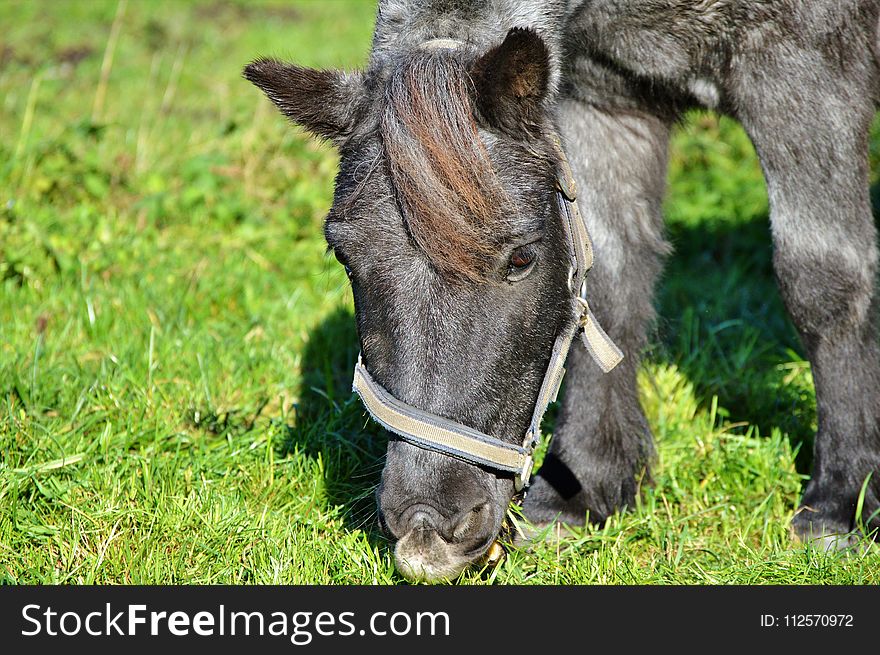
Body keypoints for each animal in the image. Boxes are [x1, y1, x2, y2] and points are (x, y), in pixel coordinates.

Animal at [244, 0, 880, 584]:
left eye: (521, 258)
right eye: (342, 253)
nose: (428, 531)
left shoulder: (805, 74)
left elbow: (823, 281)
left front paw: (840, 503)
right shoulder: (607, 102)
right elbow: (609, 281)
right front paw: (584, 485)